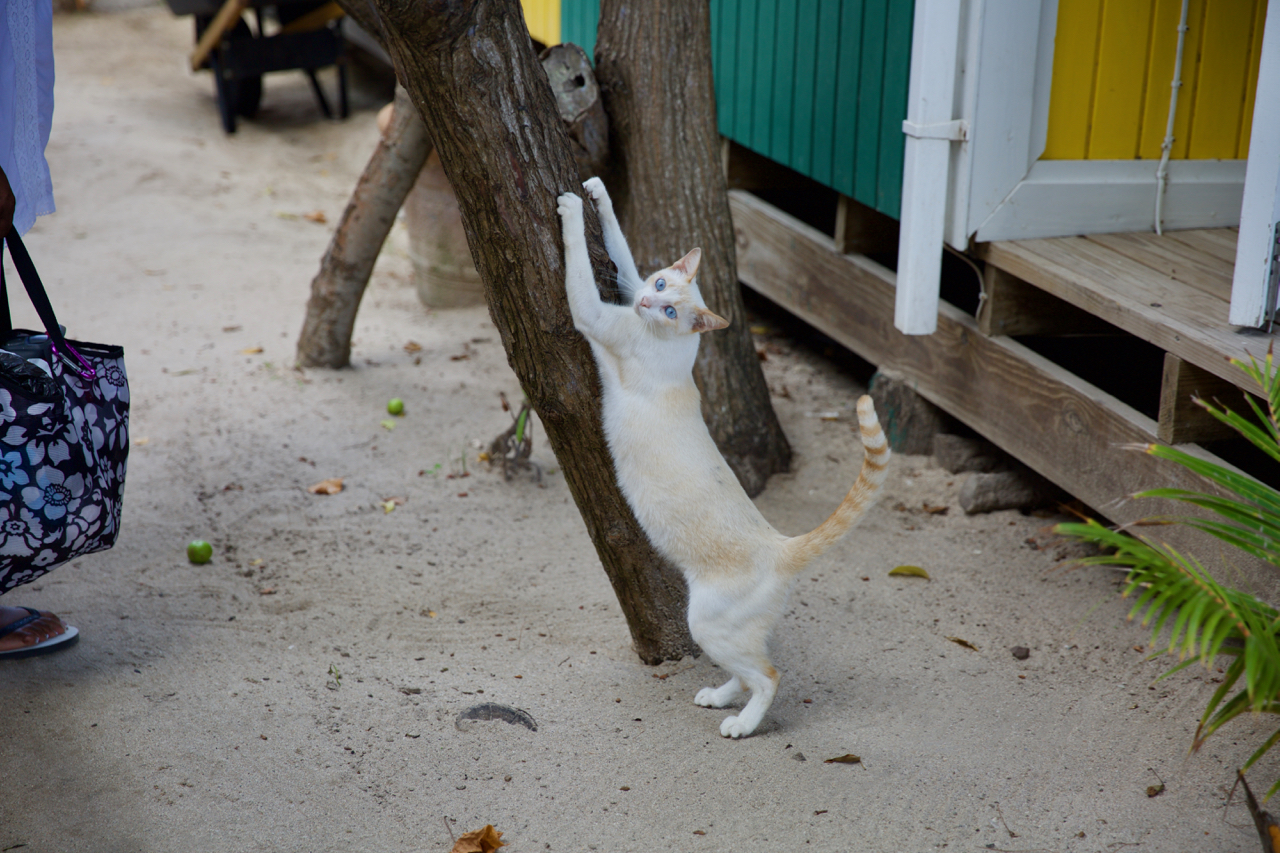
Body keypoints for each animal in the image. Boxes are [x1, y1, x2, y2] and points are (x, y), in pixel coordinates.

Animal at [560, 175, 890, 732]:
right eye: (660, 285)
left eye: (671, 310)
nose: (647, 304)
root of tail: (782, 544)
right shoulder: (627, 286)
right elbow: (620, 252)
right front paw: (596, 192)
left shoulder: (597, 315)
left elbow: (579, 267)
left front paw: (565, 209)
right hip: (722, 634)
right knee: (748, 668)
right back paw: (718, 696)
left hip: (705, 622)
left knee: (769, 675)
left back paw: (741, 724)